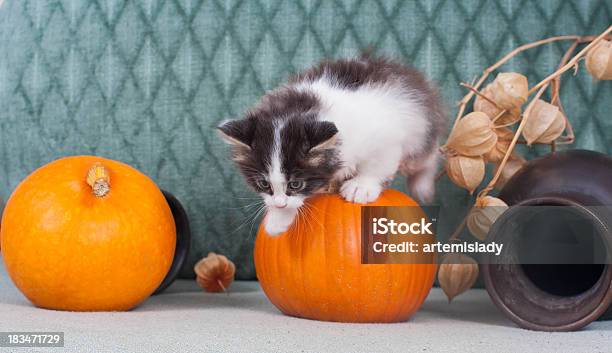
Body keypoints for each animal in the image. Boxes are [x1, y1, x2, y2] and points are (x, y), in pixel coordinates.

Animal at [220, 55, 444, 235]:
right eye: (263, 184)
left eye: (296, 184)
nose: (280, 205)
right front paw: (278, 218)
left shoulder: (385, 136)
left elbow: (377, 165)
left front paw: (361, 187)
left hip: (419, 132)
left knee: (430, 155)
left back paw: (423, 186)